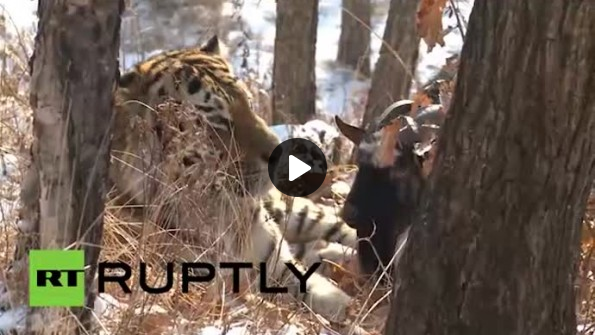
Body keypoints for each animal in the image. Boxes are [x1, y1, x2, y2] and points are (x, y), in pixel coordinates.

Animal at [108, 36, 358, 322]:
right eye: (217, 119)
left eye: (248, 102)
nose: (280, 152)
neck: (218, 208)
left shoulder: (274, 258)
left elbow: (320, 290)